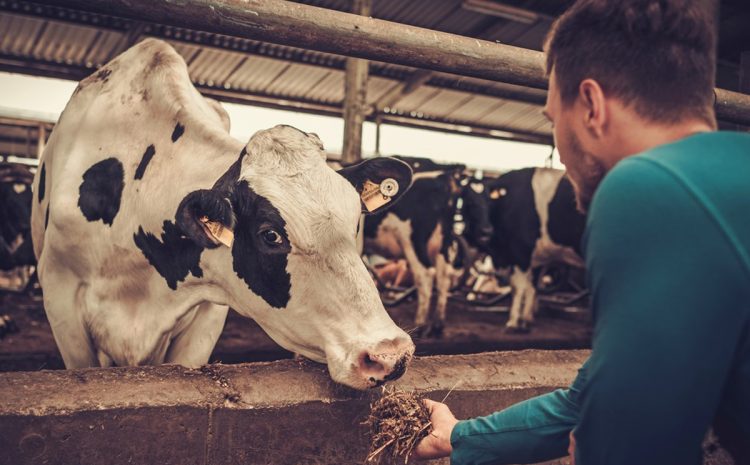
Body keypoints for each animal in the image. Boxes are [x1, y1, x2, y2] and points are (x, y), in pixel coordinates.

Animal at [362, 157, 494, 338]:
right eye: (471, 201)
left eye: (488, 202)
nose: (487, 231)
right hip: (443, 243)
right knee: (443, 277)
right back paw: (437, 325)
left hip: (412, 240)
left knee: (425, 275)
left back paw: (420, 324)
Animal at [468, 166, 592, 330]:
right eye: (469, 202)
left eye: (489, 202)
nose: (485, 230)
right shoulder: (537, 257)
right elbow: (532, 287)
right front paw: (526, 319)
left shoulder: (521, 251)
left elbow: (518, 287)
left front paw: (513, 322)